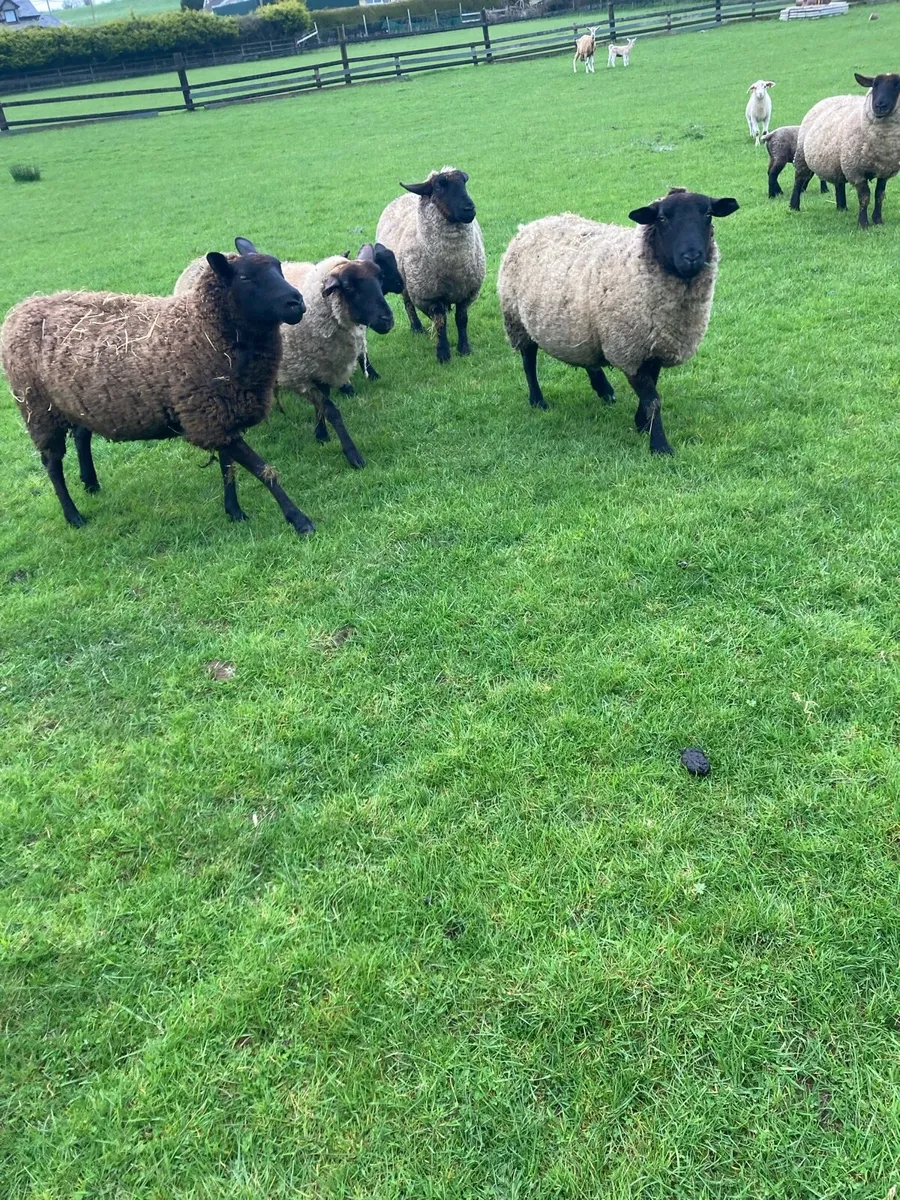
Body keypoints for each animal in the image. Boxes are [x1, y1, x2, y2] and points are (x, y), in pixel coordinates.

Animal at [0, 239, 314, 535]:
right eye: (246, 278)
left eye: (279, 268)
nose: (296, 303)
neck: (202, 328)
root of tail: (21, 308)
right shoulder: (206, 417)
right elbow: (264, 471)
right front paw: (299, 520)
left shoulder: (219, 416)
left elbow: (228, 468)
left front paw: (234, 511)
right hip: (38, 410)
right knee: (52, 464)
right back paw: (73, 516)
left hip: (78, 401)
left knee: (81, 435)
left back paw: (90, 482)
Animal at [277, 245, 394, 470]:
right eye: (348, 287)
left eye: (380, 278)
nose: (387, 320)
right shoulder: (300, 376)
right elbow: (331, 410)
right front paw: (352, 454)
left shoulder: (322, 369)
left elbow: (321, 406)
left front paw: (320, 434)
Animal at [375, 167, 485, 364]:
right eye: (439, 187)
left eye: (464, 182)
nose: (469, 209)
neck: (453, 265)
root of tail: (403, 196)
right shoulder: (428, 296)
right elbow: (440, 322)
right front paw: (443, 354)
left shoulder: (467, 292)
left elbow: (461, 319)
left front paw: (464, 349)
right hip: (404, 281)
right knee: (408, 303)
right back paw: (416, 328)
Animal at [496, 188, 739, 456]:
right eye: (662, 218)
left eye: (708, 214)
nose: (692, 257)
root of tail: (531, 225)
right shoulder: (628, 350)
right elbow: (653, 400)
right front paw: (659, 445)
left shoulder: (653, 348)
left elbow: (651, 392)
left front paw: (641, 424)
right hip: (517, 320)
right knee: (529, 362)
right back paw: (537, 400)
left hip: (581, 326)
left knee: (587, 357)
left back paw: (604, 390)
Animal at [790, 73, 900, 227]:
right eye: (874, 85)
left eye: (897, 86)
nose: (879, 106)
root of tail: (829, 98)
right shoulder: (855, 170)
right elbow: (865, 197)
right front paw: (863, 223)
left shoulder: (885, 170)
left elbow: (879, 195)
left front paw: (878, 220)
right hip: (802, 155)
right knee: (799, 178)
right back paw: (794, 206)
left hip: (836, 159)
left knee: (839, 181)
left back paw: (842, 207)